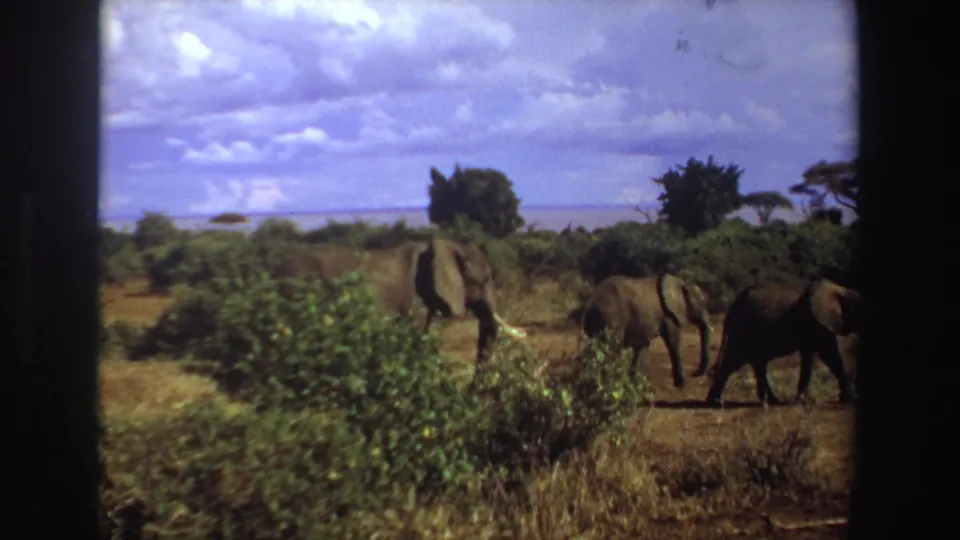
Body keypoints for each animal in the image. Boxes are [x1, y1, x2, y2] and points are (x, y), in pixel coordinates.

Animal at [571, 274, 714, 389]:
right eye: (702, 304)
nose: (694, 374)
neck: (681, 283)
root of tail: (589, 303)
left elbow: (642, 347)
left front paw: (634, 385)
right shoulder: (668, 315)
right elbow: (674, 341)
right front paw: (682, 385)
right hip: (611, 318)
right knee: (612, 348)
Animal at [704, 278, 859, 406]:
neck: (841, 290)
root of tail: (732, 309)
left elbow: (829, 357)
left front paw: (847, 399)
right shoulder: (813, 323)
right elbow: (818, 356)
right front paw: (806, 402)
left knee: (749, 362)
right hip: (744, 330)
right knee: (737, 361)